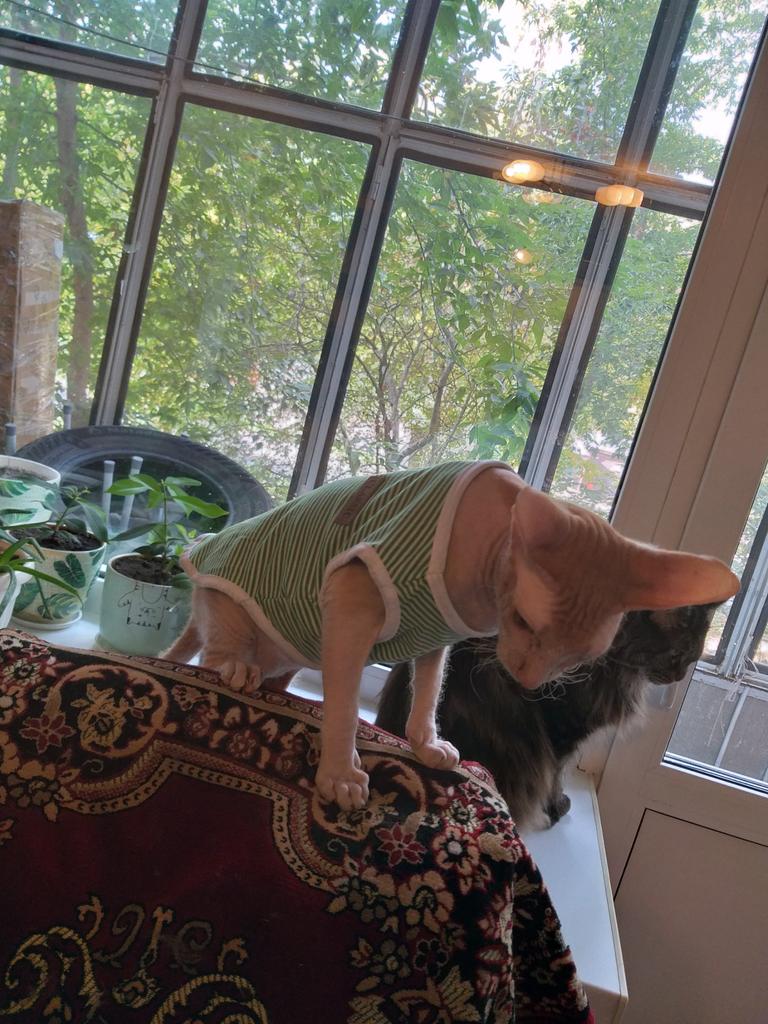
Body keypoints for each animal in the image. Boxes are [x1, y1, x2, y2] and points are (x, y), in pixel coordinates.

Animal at [376, 603, 718, 830]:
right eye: (677, 655)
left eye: (692, 659)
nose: (679, 677)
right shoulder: (562, 726)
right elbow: (555, 772)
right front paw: (557, 807)